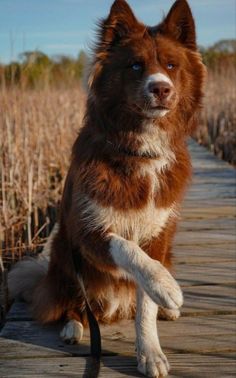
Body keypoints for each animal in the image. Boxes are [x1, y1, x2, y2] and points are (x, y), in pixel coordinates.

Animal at [8, 1, 205, 376]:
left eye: (171, 65)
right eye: (136, 65)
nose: (161, 88)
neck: (139, 152)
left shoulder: (159, 235)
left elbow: (145, 300)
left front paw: (150, 350)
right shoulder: (88, 231)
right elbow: (129, 250)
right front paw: (167, 287)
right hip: (65, 257)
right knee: (72, 305)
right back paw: (73, 327)